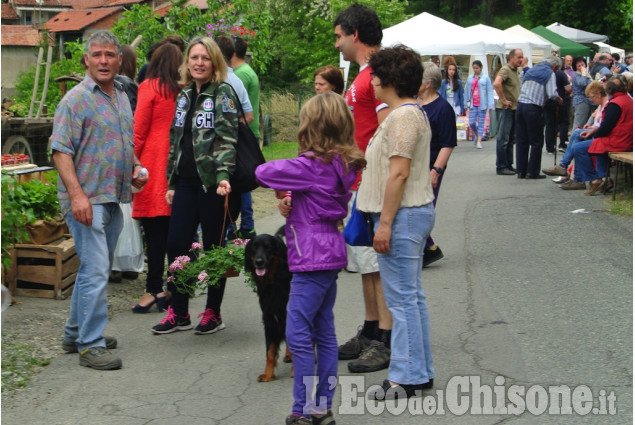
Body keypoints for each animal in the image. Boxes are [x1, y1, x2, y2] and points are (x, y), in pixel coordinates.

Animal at [243, 229, 294, 380]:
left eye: (268, 247)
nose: (259, 262)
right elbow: (269, 352)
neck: (274, 282)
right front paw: (268, 374)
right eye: (254, 247)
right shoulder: (269, 318)